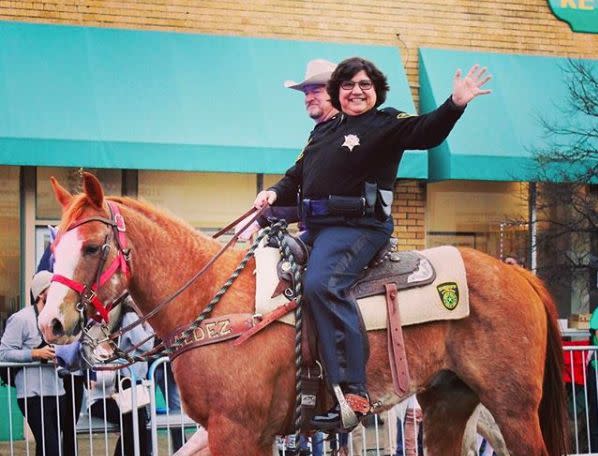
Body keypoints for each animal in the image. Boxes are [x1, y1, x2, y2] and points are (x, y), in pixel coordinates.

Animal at [38, 173, 572, 454]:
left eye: (91, 246)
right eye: (55, 244)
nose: (51, 323)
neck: (211, 300)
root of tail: (517, 274)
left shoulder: (236, 430)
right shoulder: (237, 433)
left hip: (512, 408)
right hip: (450, 404)